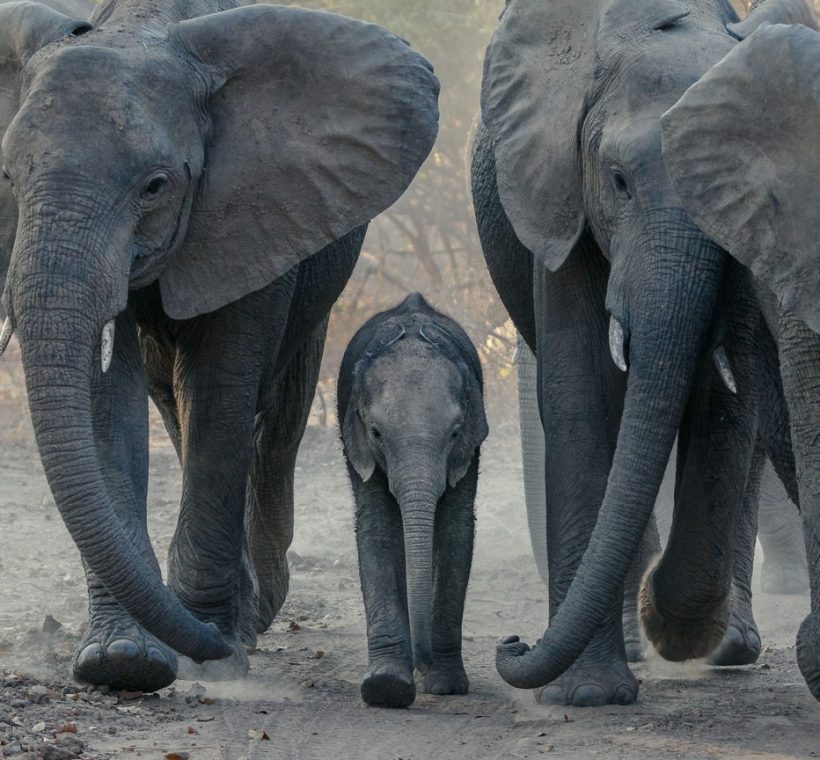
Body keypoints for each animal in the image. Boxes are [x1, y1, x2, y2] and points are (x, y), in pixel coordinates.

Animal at [0, 0, 438, 692]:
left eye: (155, 186)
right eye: (9, 178)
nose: (200, 641)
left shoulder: (256, 207)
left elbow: (221, 389)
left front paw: (213, 651)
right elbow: (106, 404)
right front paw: (121, 660)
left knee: (274, 419)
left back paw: (253, 615)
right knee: (173, 404)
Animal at [338, 293, 488, 708]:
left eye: (455, 433)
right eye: (376, 432)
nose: (424, 662)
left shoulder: (469, 448)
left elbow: (455, 531)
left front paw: (446, 685)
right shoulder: (359, 446)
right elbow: (377, 529)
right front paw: (386, 687)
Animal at [472, 0, 812, 706]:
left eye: (717, 190)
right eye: (620, 181)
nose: (510, 642)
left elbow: (725, 402)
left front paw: (673, 624)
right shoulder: (562, 191)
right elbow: (579, 391)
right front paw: (587, 696)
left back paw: (725, 646)